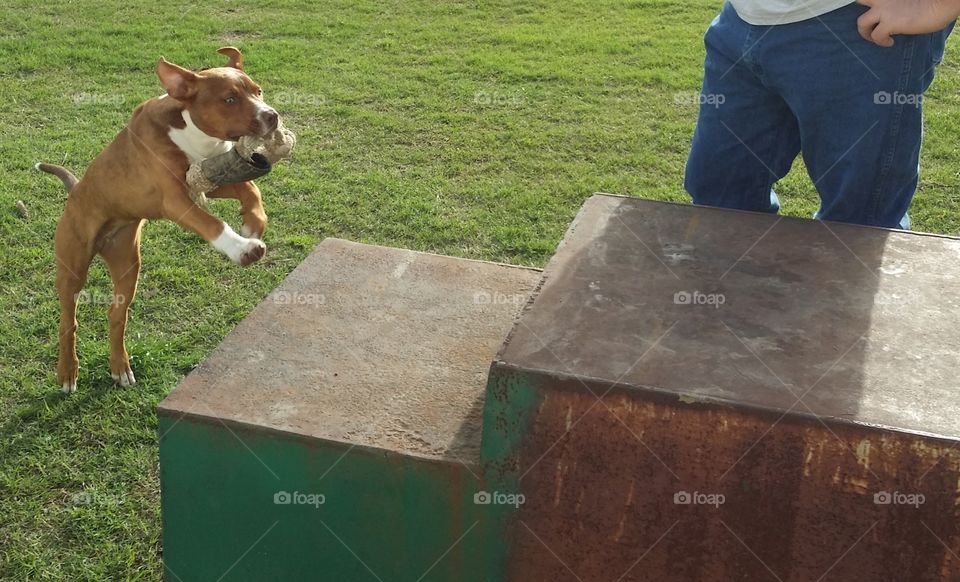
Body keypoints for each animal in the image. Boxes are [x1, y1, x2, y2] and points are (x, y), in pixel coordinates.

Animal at [37, 48, 278, 394]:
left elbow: (250, 188)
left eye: (258, 91)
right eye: (230, 99)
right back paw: (68, 372)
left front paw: (253, 223)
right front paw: (242, 248)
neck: (192, 134)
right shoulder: (175, 200)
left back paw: (120, 367)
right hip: (72, 267)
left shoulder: (207, 180)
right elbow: (213, 224)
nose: (272, 115)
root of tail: (75, 190)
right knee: (68, 321)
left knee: (116, 314)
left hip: (127, 266)